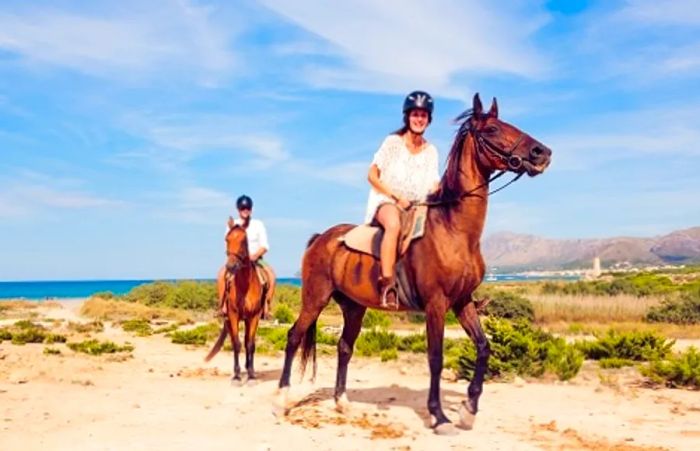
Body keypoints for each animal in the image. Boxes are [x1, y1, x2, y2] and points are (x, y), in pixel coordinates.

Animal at [205, 224, 268, 384]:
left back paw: (249, 368)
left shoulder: (254, 316)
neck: (244, 284)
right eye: (226, 239)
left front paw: (251, 376)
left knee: (248, 341)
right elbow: (236, 344)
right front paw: (237, 376)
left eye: (243, 240)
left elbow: (250, 344)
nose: (231, 266)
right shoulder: (233, 316)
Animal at [274, 93, 552, 436]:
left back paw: (342, 402)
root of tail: (320, 239)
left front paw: (468, 410)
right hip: (315, 298)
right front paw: (440, 416)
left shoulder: (462, 302)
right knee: (293, 338)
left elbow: (484, 347)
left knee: (344, 347)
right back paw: (281, 400)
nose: (542, 153)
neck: (454, 230)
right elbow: (435, 357)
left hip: (353, 307)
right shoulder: (436, 304)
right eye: (492, 129)